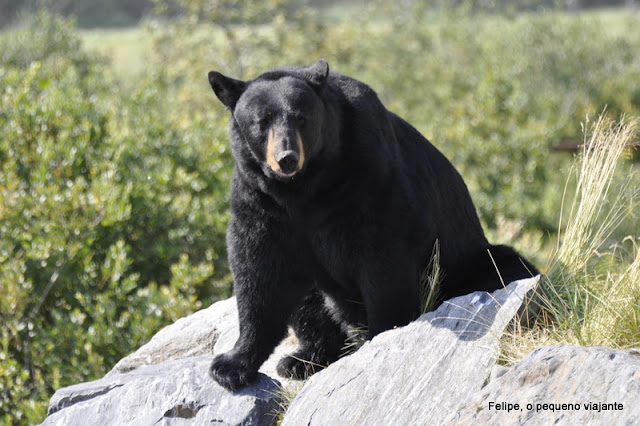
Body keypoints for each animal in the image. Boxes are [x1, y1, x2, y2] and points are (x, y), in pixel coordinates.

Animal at [205, 60, 536, 392]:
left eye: (301, 118)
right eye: (262, 120)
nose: (287, 158)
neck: (304, 189)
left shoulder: (367, 174)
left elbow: (382, 260)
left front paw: (382, 340)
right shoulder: (261, 200)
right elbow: (261, 271)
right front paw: (232, 365)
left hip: (467, 261)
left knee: (504, 267)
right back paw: (302, 359)